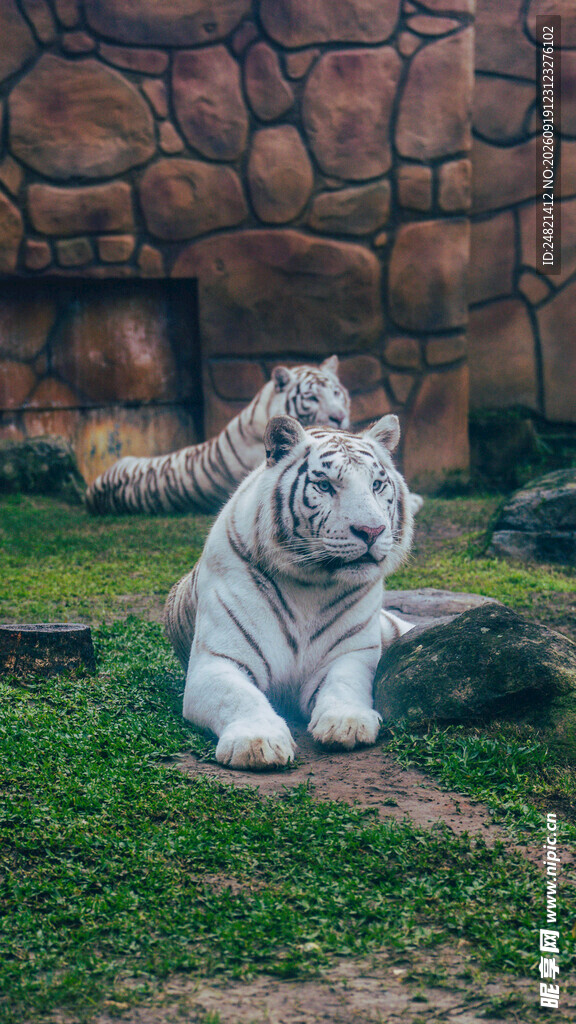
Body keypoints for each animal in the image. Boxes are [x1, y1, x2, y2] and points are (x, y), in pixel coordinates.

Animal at [164, 412, 415, 770]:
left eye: (377, 485)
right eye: (325, 485)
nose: (371, 531)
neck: (310, 585)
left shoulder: (350, 652)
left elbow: (345, 683)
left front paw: (347, 722)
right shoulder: (216, 662)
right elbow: (239, 697)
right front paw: (256, 742)